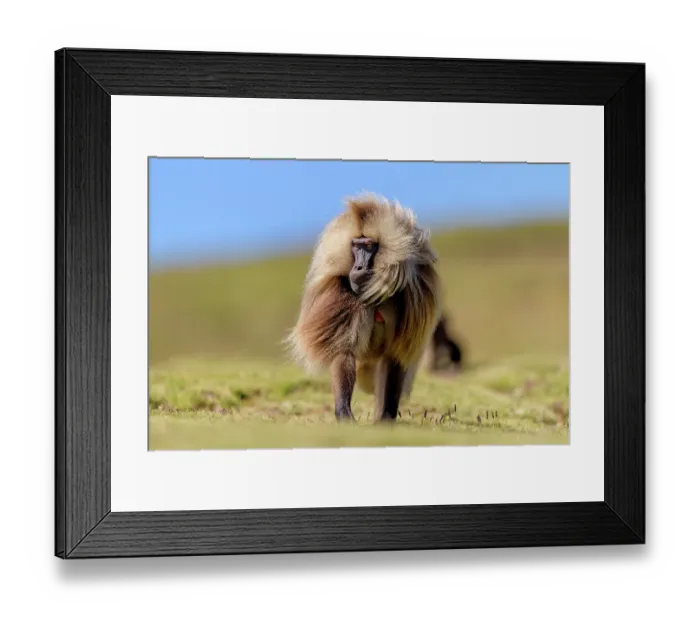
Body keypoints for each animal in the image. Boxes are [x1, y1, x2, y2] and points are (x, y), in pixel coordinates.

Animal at [285, 193, 442, 423]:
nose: (358, 267)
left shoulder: (413, 296)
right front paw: (344, 412)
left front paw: (385, 419)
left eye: (368, 246)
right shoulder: (341, 294)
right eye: (355, 245)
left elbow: (396, 356)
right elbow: (343, 350)